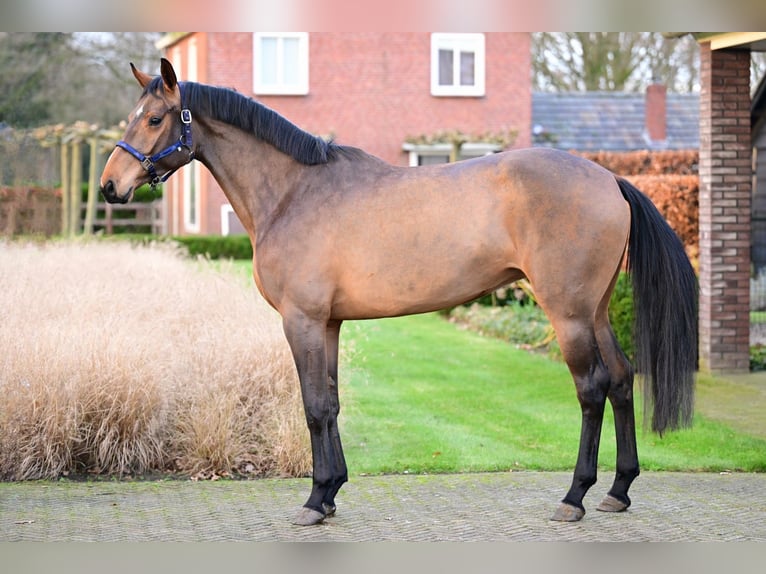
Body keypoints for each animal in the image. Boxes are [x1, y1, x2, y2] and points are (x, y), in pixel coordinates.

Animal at [99, 59, 700, 528]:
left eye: (155, 118)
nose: (109, 185)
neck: (294, 192)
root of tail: (607, 178)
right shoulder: (329, 323)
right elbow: (331, 402)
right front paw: (332, 492)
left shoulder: (302, 320)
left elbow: (313, 407)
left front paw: (313, 501)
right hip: (595, 309)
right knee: (621, 379)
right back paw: (618, 491)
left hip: (568, 313)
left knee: (592, 388)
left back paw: (575, 497)